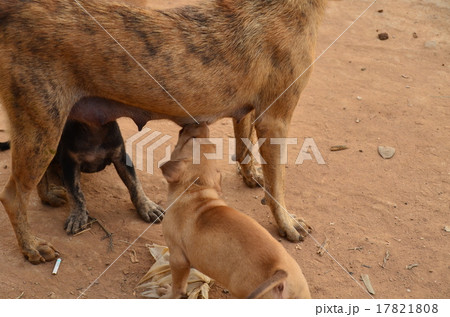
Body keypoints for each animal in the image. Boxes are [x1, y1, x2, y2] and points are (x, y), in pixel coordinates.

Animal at [0, 0, 324, 262]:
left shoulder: (250, 111)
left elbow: (245, 147)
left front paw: (252, 175)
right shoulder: (275, 119)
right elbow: (278, 184)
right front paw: (286, 223)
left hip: (44, 127)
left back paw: (49, 195)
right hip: (43, 130)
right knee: (13, 196)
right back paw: (31, 248)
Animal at [160, 122, 312, 298]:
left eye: (190, 139)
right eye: (211, 143)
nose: (200, 123)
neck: (196, 191)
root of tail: (281, 273)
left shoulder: (178, 258)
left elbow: (178, 286)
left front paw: (168, 294)